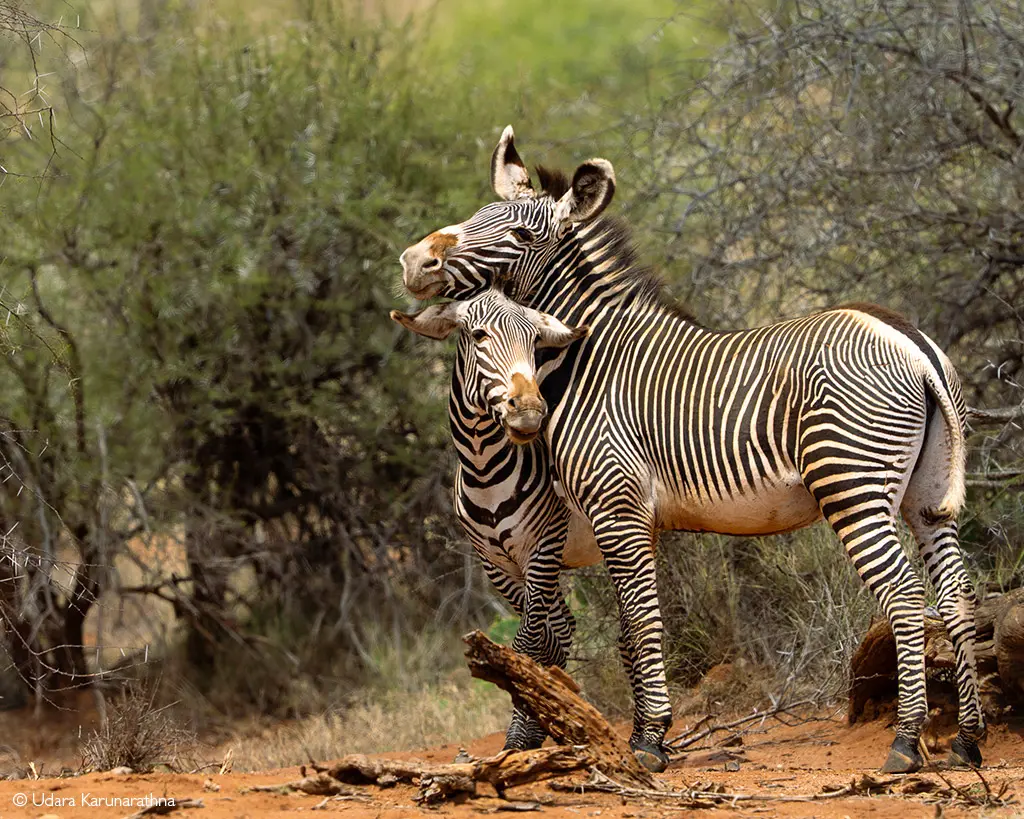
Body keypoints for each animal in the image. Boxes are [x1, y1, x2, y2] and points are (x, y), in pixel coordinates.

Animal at [390, 288, 598, 750]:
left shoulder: (543, 547)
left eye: (535, 341)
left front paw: (522, 731)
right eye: (478, 335)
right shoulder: (495, 563)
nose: (529, 412)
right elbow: (543, 635)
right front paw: (537, 720)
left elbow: (529, 640)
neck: (484, 471)